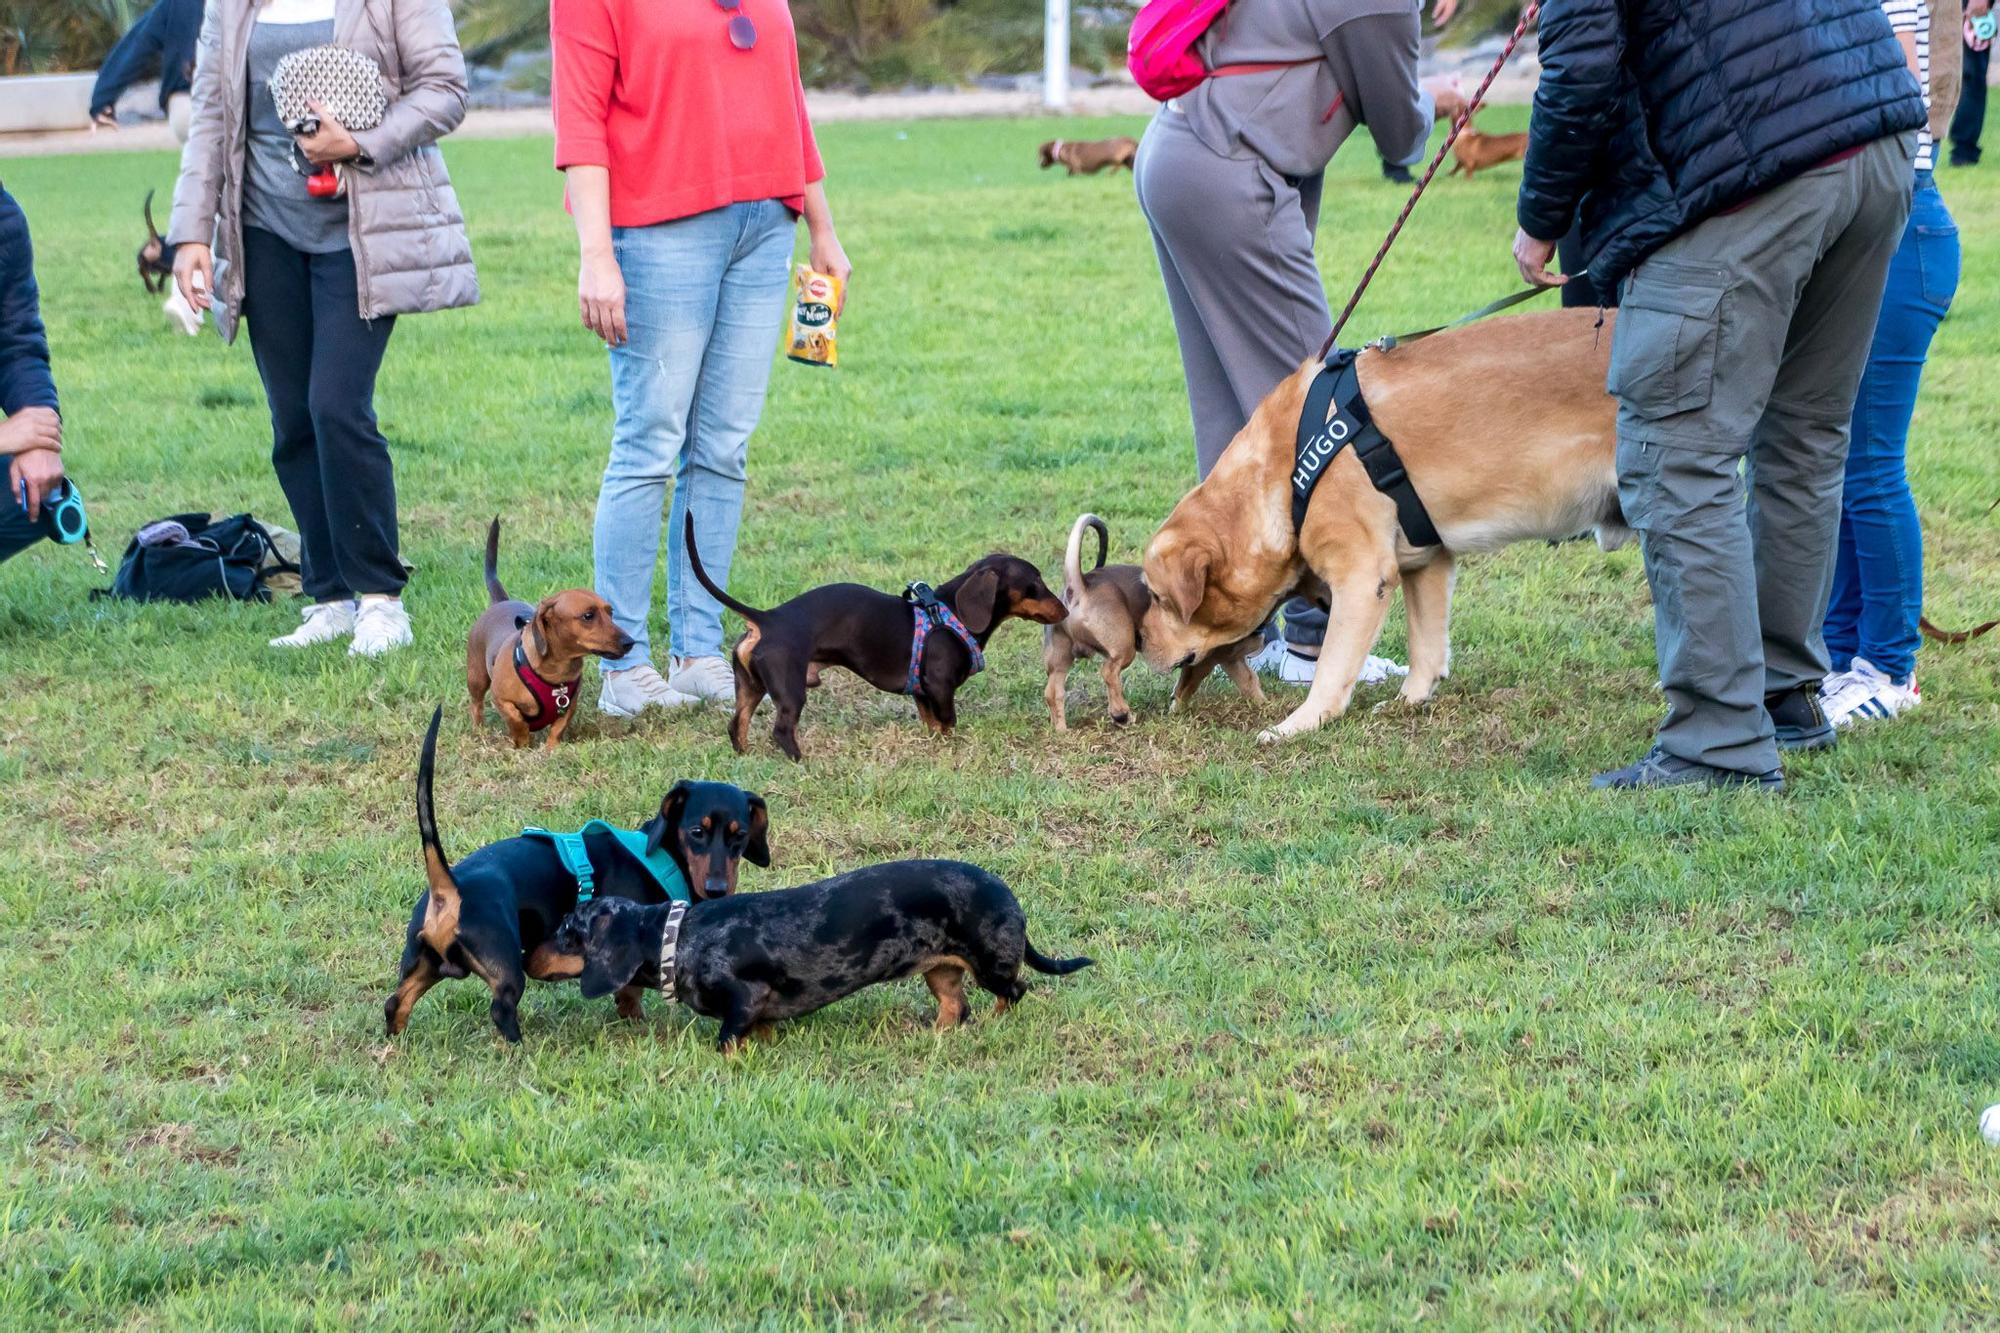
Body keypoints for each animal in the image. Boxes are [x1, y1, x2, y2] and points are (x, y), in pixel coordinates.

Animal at [384, 704, 772, 1040]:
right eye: (696, 832)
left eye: (739, 836)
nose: (718, 888)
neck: (662, 856)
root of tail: (451, 886)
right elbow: (629, 991)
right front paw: (636, 1022)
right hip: (507, 972)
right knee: (501, 1011)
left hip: (424, 964)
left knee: (395, 1004)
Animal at [464, 516, 628, 748]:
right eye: (588, 615)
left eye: (610, 612)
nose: (629, 642)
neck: (556, 673)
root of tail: (500, 602)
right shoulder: (501, 699)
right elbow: (516, 720)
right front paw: (522, 742)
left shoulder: (569, 705)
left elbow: (558, 728)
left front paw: (551, 749)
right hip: (476, 677)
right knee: (476, 705)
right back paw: (479, 730)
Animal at [540, 856, 1096, 1056]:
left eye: (568, 931)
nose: (527, 954)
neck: (676, 937)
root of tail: (1007, 894)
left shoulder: (744, 998)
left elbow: (725, 1041)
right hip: (941, 973)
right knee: (955, 1008)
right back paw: (932, 1034)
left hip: (991, 965)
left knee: (1014, 991)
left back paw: (997, 1022)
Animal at [684, 508, 1072, 756]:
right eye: (1035, 583)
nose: (1066, 609)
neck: (952, 613)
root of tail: (767, 618)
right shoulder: (940, 686)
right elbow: (948, 723)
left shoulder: (922, 691)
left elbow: (932, 723)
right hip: (789, 687)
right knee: (781, 730)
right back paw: (801, 761)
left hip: (750, 686)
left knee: (737, 724)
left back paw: (744, 755)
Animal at [1048, 512, 1264, 732]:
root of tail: (1080, 586)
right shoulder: (1205, 661)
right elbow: (1187, 686)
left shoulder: (1232, 659)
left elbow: (1250, 681)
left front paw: (1263, 704)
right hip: (1123, 647)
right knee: (1109, 671)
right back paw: (1121, 714)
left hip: (1060, 657)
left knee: (1053, 691)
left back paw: (1062, 730)